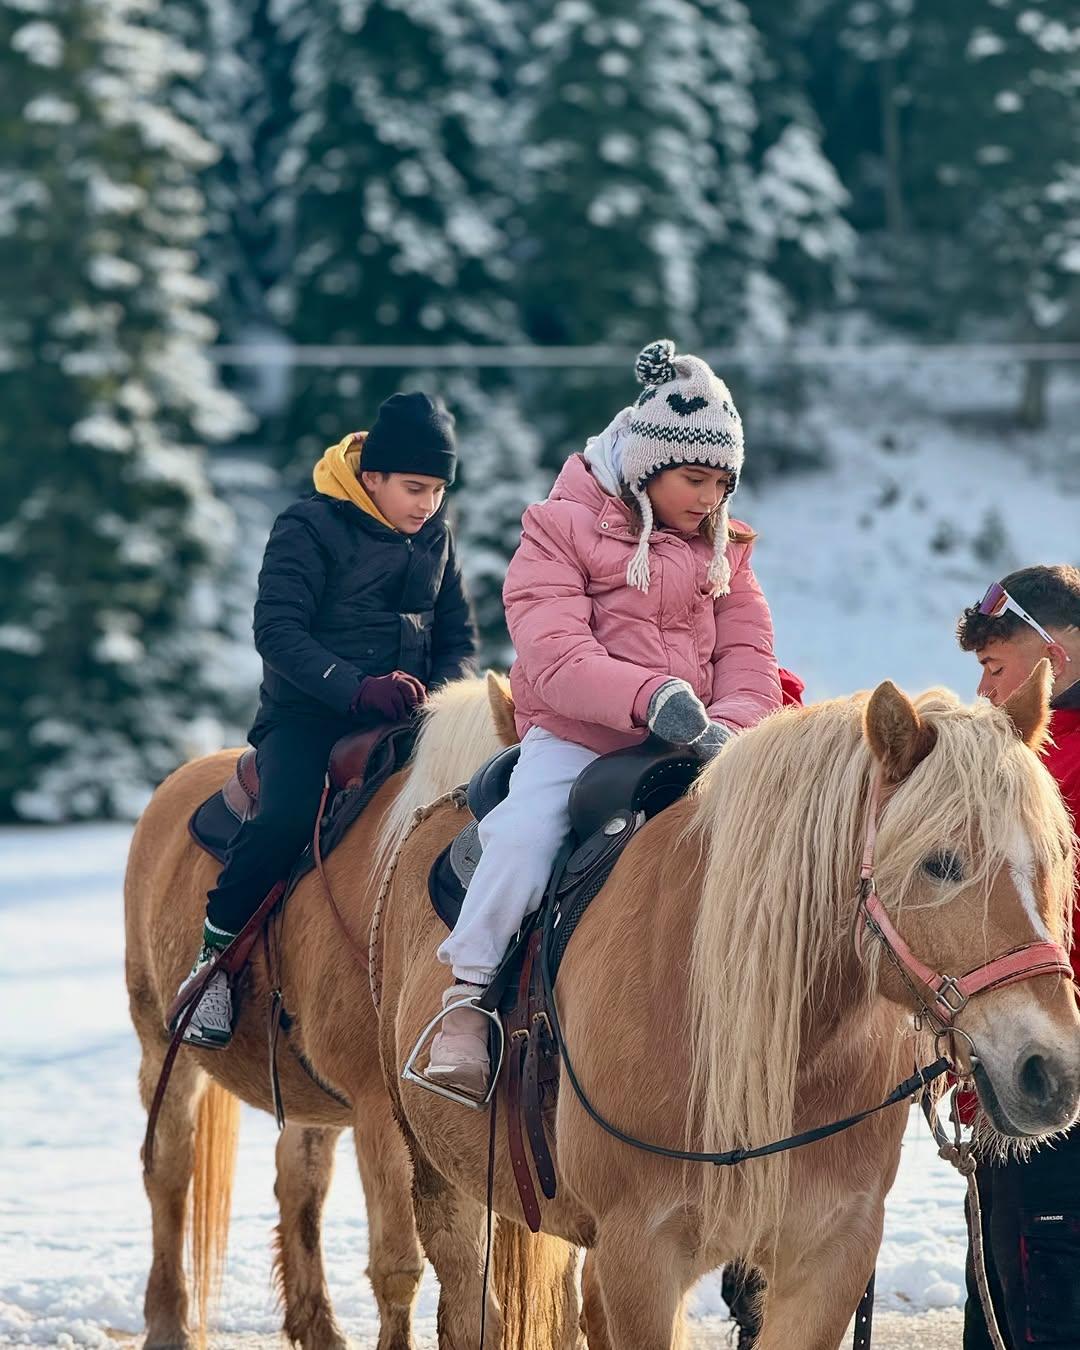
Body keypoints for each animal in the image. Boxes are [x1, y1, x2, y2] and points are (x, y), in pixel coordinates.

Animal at [124, 675, 583, 1350]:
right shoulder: (379, 1112)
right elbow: (399, 1267)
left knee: (298, 1181)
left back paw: (316, 1324)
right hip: (163, 1045)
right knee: (168, 1171)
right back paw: (167, 1321)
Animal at [372, 664, 1080, 1350]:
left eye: (1054, 856)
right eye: (940, 863)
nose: (1053, 1071)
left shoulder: (833, 1251)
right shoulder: (640, 1257)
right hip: (436, 1172)